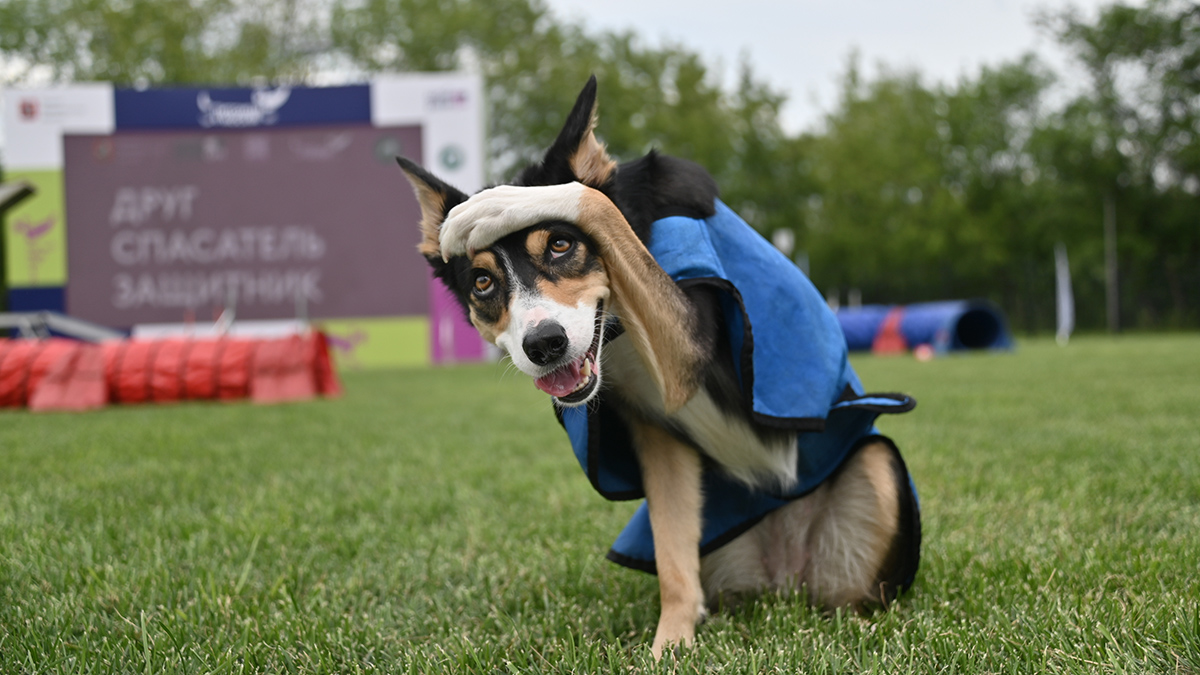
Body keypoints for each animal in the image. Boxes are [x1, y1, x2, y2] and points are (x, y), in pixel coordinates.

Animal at [398, 76, 921, 653]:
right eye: (483, 283)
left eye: (560, 244)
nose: (545, 344)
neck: (620, 331)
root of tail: (786, 577)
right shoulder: (659, 431)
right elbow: (673, 559)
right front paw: (670, 646)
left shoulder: (688, 354)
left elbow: (593, 198)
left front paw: (496, 204)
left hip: (878, 472)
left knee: (860, 595)